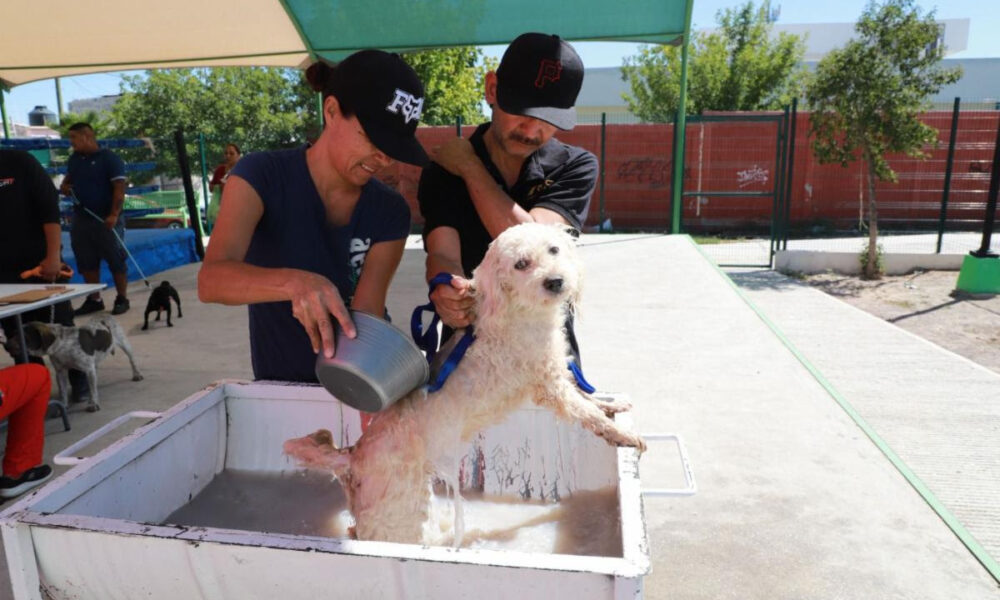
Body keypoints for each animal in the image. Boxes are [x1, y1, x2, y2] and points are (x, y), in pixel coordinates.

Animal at [10, 315, 143, 412]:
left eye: (24, 337)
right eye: (14, 332)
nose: (6, 345)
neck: (63, 345)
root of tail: (105, 314)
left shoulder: (88, 369)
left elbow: (92, 390)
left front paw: (93, 404)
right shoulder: (61, 372)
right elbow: (63, 392)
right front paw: (63, 406)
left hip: (124, 344)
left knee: (132, 360)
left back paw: (137, 374)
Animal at [284, 222, 645, 545]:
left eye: (554, 250)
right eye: (521, 264)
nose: (555, 281)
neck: (517, 311)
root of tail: (353, 457)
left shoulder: (557, 372)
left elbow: (588, 396)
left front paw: (613, 404)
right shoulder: (550, 385)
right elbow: (586, 412)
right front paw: (624, 435)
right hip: (399, 514)